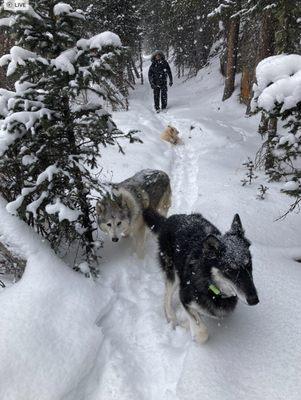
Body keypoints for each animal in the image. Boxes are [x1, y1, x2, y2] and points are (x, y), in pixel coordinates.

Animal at [142, 208, 258, 342]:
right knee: (167, 294)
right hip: (172, 271)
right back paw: (171, 317)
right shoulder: (184, 296)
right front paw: (191, 330)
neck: (211, 286)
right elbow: (202, 332)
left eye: (249, 264)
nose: (254, 300)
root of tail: (170, 219)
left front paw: (187, 324)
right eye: (230, 269)